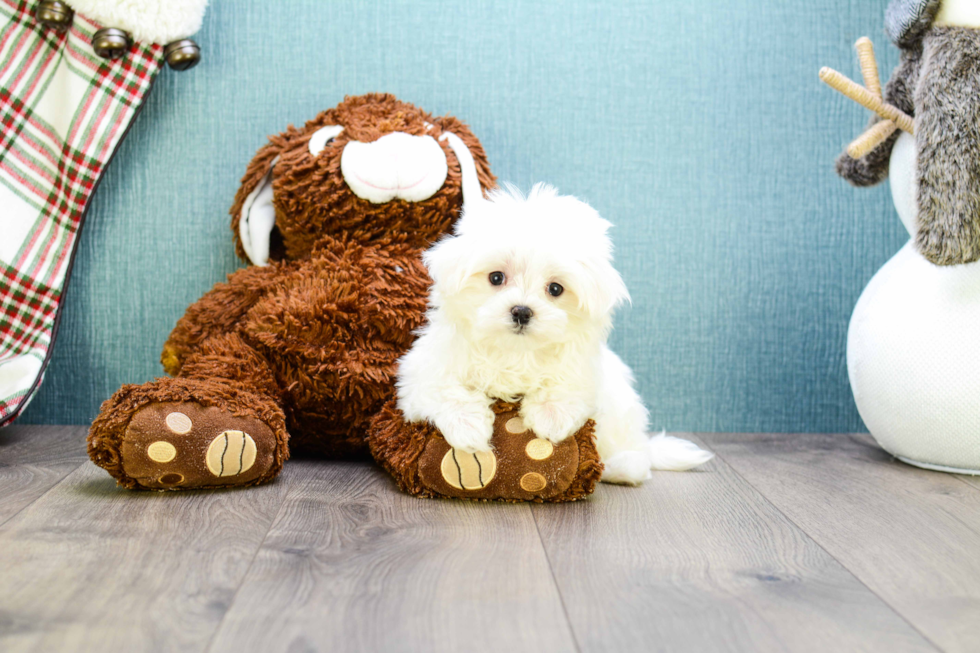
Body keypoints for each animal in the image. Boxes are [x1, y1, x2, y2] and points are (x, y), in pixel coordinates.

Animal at [398, 183, 712, 484]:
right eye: (496, 277)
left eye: (555, 289)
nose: (522, 311)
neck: (514, 352)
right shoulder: (424, 369)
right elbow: (443, 389)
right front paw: (468, 427)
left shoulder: (585, 367)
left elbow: (567, 382)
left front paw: (550, 416)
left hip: (622, 412)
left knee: (634, 454)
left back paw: (620, 467)